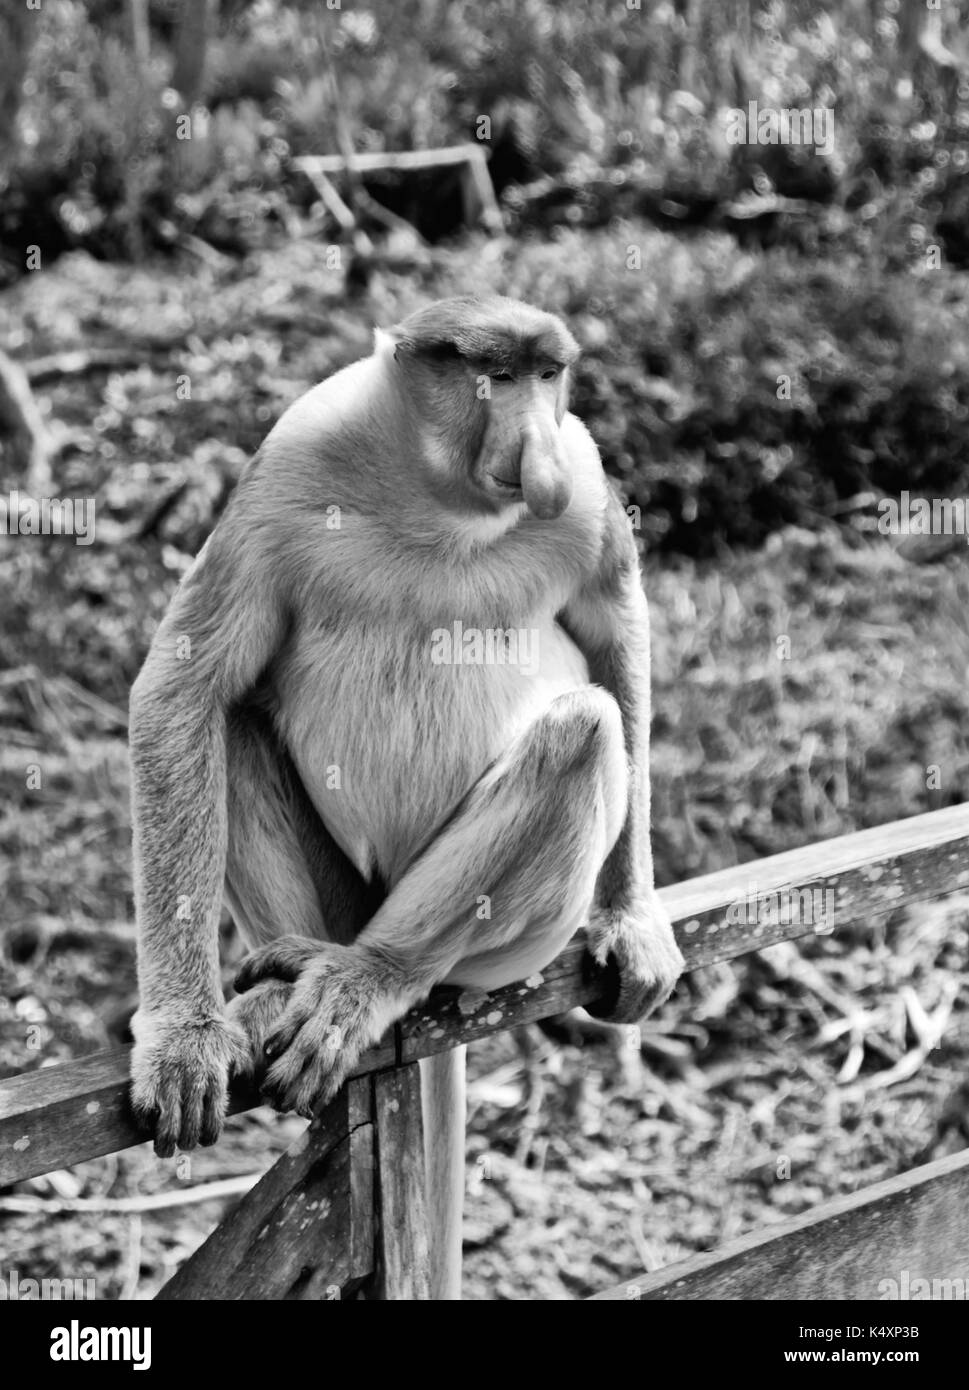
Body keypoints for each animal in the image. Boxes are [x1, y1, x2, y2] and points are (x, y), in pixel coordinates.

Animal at [128, 294, 684, 1299]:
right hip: (342, 893)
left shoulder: (585, 485)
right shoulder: (290, 463)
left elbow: (614, 639)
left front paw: (632, 922)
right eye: (493, 377)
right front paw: (184, 1043)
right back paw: (290, 978)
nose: (534, 458)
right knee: (231, 720)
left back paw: (371, 976)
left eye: (549, 376)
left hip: (501, 947)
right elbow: (184, 691)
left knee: (584, 731)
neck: (444, 504)